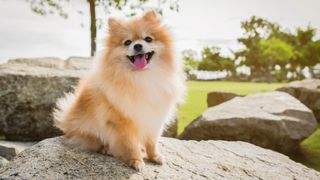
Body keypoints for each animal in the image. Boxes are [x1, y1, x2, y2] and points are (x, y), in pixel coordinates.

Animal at [53, 10, 185, 171]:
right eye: (127, 42)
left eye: (148, 39)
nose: (138, 45)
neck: (142, 77)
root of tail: (66, 121)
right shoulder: (122, 122)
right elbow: (130, 144)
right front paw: (136, 160)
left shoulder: (153, 117)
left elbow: (152, 141)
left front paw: (154, 156)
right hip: (88, 129)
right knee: (94, 143)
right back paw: (106, 149)